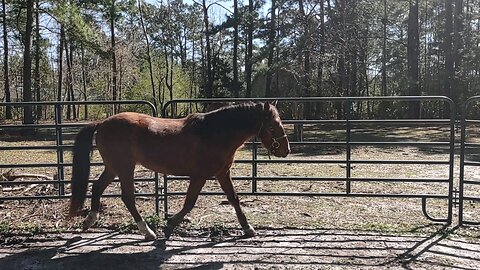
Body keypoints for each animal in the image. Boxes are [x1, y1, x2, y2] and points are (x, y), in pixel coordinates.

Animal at [68, 100, 290, 239]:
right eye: (273, 126)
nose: (286, 150)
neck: (215, 133)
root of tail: (102, 122)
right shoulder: (199, 176)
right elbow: (189, 203)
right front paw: (169, 226)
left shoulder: (222, 173)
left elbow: (234, 199)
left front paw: (248, 228)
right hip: (124, 168)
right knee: (128, 197)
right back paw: (147, 232)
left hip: (113, 168)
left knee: (97, 187)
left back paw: (89, 220)